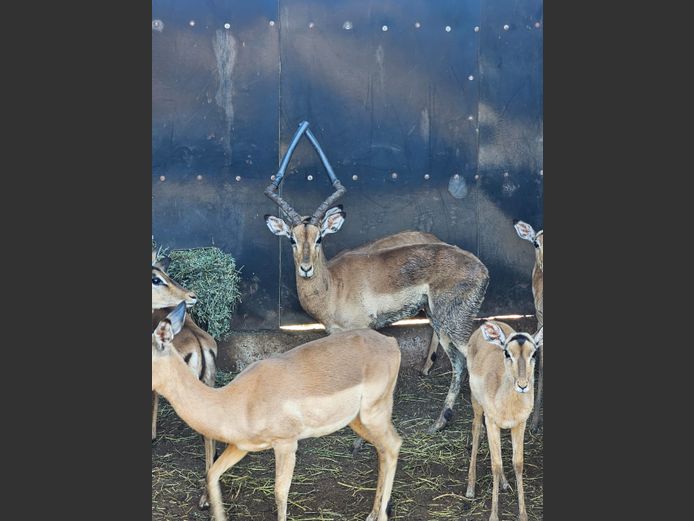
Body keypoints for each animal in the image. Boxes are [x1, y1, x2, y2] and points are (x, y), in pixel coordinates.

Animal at [153, 302, 402, 521]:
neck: (235, 401)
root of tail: (390, 343)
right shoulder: (240, 447)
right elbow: (212, 473)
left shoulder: (286, 444)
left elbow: (280, 493)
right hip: (358, 420)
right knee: (382, 450)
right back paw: (372, 513)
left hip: (374, 413)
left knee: (393, 445)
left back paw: (381, 515)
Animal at [264, 181, 489, 433]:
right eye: (292, 239)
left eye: (319, 238)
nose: (305, 269)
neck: (334, 285)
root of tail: (482, 268)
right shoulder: (337, 333)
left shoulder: (363, 329)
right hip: (439, 321)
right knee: (461, 363)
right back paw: (439, 421)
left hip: (454, 324)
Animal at [463, 321, 543, 521]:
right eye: (507, 352)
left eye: (534, 353)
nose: (522, 385)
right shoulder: (491, 421)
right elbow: (496, 465)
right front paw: (493, 515)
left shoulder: (520, 424)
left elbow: (518, 463)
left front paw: (523, 515)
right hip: (476, 404)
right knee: (476, 430)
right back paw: (470, 488)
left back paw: (505, 484)